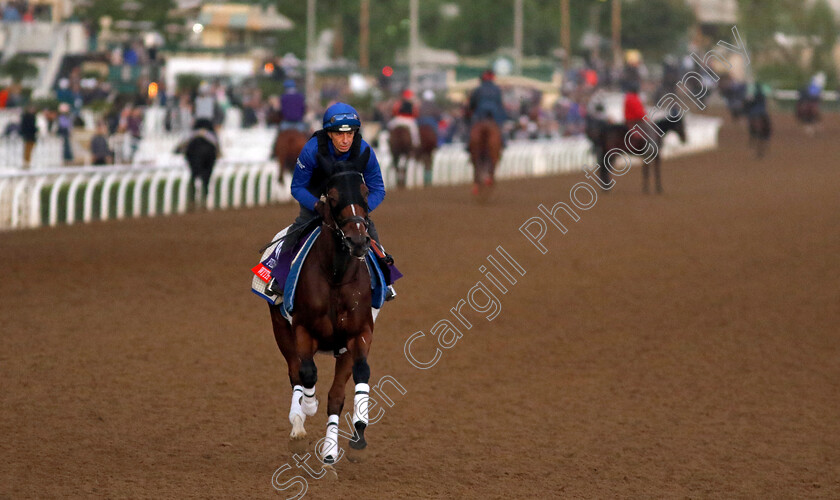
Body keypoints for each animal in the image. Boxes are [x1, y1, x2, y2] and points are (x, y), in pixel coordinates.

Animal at [268, 146, 376, 470]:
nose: (358, 240)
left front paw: (357, 434)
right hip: (281, 330)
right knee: (295, 371)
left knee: (336, 394)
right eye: (333, 194)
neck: (336, 275)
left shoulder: (358, 333)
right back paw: (298, 424)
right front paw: (307, 407)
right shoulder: (303, 329)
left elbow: (356, 377)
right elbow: (307, 373)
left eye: (366, 191)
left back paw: (330, 451)